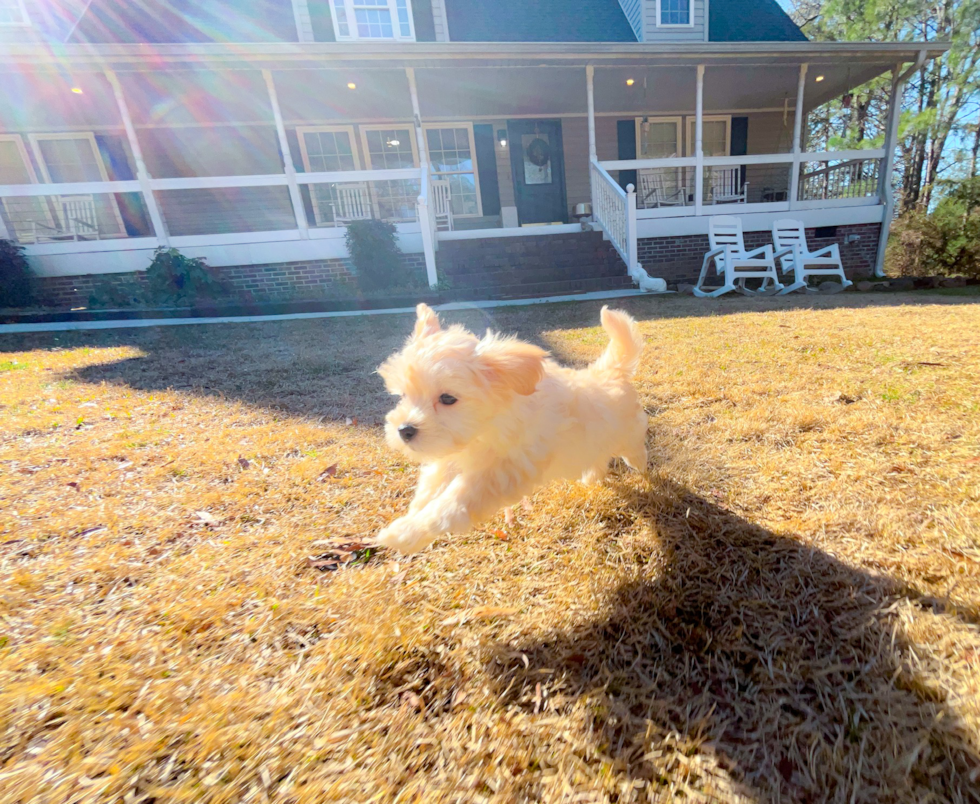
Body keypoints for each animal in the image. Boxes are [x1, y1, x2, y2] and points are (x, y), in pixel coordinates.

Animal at [378, 304, 648, 552]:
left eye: (447, 398)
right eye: (404, 395)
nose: (405, 430)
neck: (488, 428)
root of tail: (611, 372)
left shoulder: (498, 473)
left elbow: (452, 502)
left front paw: (404, 534)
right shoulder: (454, 455)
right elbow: (432, 483)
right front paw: (412, 514)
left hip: (627, 433)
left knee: (635, 448)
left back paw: (641, 466)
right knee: (597, 458)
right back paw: (591, 477)